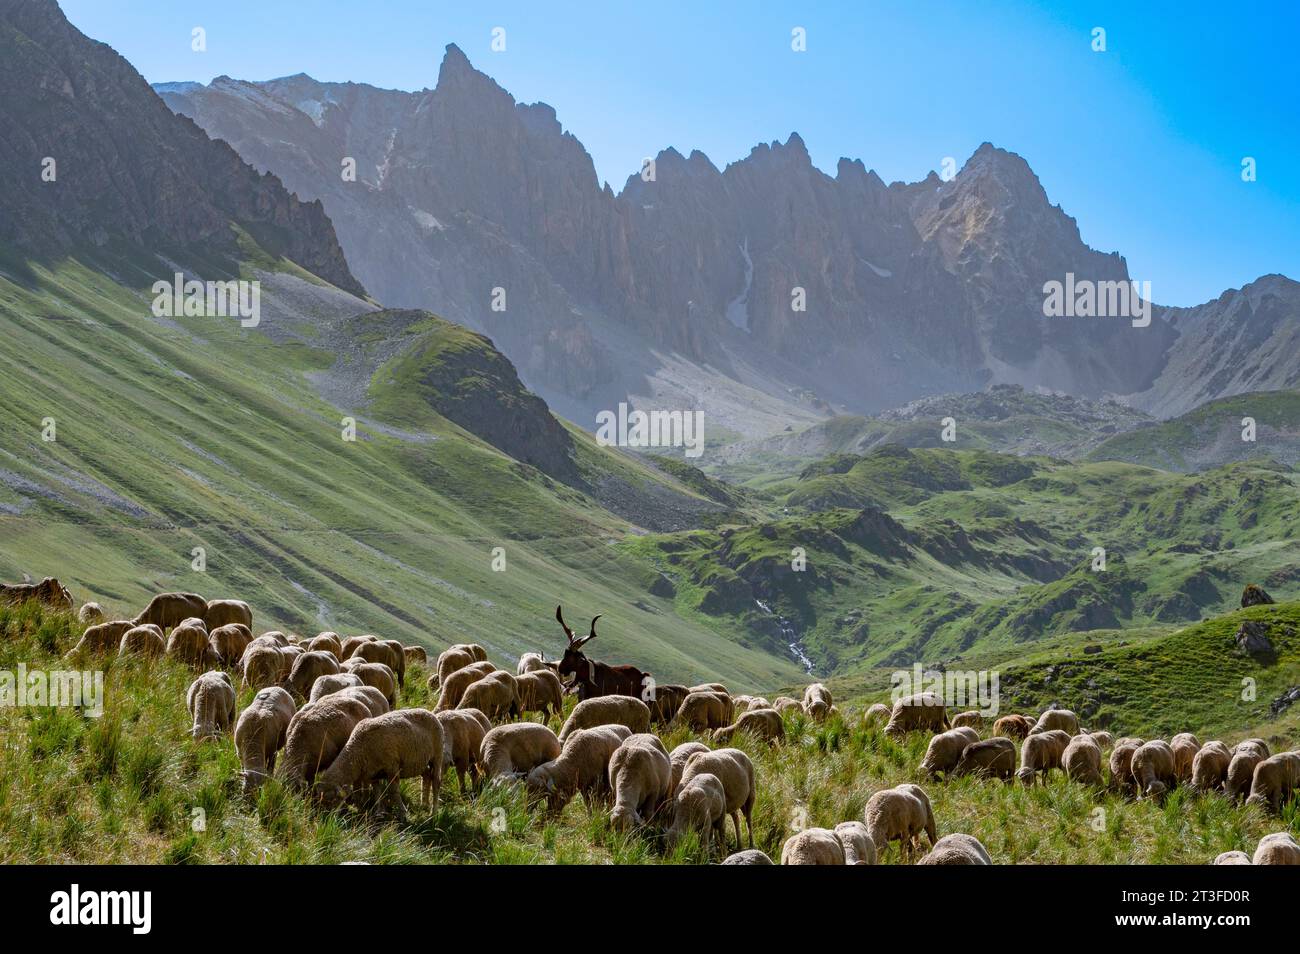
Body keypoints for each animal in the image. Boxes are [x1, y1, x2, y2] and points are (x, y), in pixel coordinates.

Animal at [312, 712, 444, 816]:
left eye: (333, 800)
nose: (329, 819)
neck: (358, 750)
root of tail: (431, 713)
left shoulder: (392, 767)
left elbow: (393, 791)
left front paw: (402, 813)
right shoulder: (373, 772)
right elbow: (377, 792)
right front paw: (379, 812)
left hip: (437, 755)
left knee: (436, 781)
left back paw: (434, 812)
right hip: (421, 761)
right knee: (427, 776)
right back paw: (424, 804)